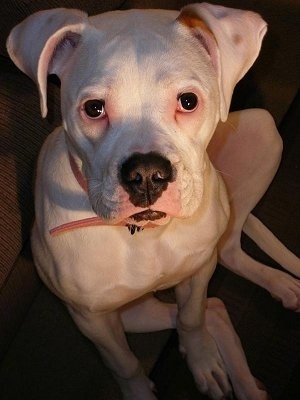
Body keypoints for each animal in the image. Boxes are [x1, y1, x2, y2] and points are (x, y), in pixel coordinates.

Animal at [7, 3, 298, 400]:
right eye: (94, 108)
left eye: (188, 101)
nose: (146, 174)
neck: (144, 234)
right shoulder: (92, 319)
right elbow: (125, 363)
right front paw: (145, 389)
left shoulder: (197, 272)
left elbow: (191, 319)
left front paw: (201, 358)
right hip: (132, 314)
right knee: (217, 305)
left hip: (264, 132)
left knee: (224, 260)